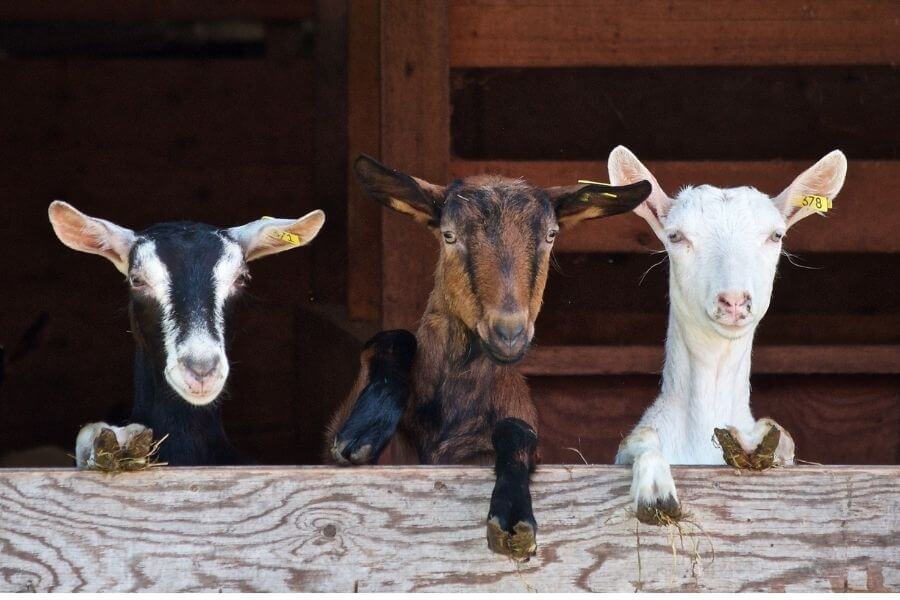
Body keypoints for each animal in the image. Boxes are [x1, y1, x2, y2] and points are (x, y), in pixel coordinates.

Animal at [326, 155, 651, 558]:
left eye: (551, 235)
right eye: (449, 235)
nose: (508, 333)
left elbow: (517, 431)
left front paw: (513, 515)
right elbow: (392, 339)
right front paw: (364, 430)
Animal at [608, 146, 847, 522]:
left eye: (776, 235)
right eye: (675, 236)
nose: (733, 300)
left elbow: (782, 438)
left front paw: (755, 442)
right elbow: (640, 438)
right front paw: (655, 491)